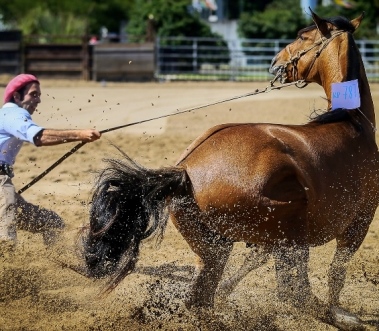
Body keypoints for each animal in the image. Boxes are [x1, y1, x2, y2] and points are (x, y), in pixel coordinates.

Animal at [81, 10, 378, 331]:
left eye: (302, 36)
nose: (275, 61)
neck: (351, 122)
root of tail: (185, 170)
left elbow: (256, 261)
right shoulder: (360, 221)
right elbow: (338, 269)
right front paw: (338, 311)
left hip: (214, 248)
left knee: (202, 297)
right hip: (289, 229)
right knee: (293, 292)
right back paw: (332, 315)